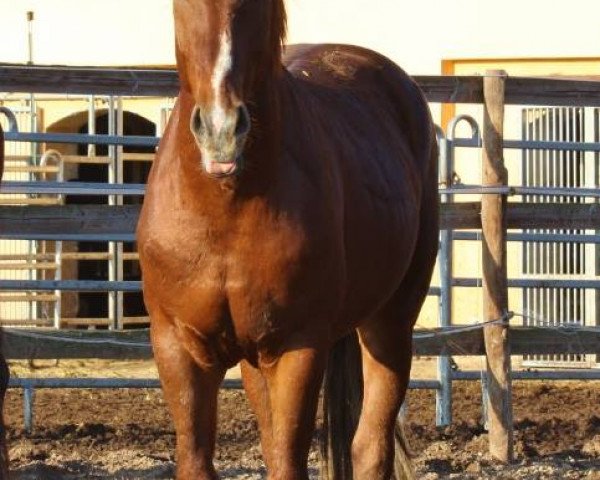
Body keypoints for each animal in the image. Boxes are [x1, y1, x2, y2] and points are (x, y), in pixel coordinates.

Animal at [138, 1, 438, 478]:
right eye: (181, 6)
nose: (221, 130)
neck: (225, 205)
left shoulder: (298, 349)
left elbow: (288, 459)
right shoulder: (179, 347)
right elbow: (197, 459)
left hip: (391, 321)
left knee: (371, 446)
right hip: (254, 357)